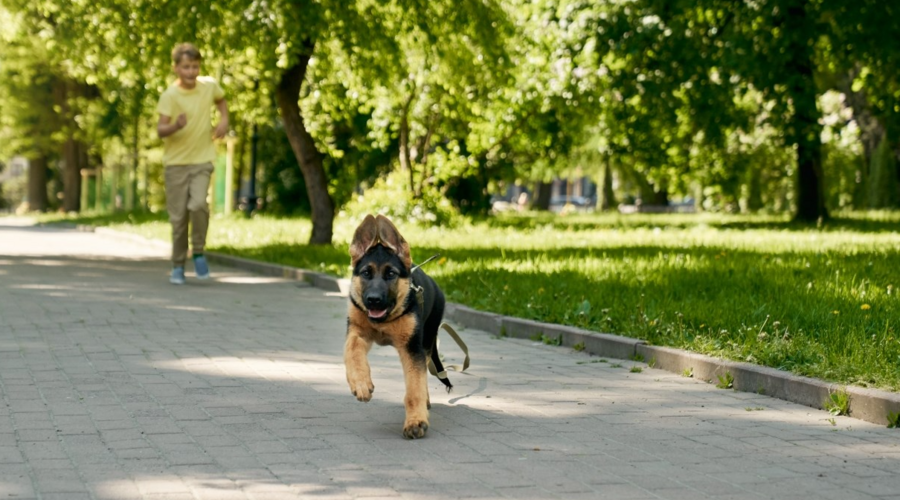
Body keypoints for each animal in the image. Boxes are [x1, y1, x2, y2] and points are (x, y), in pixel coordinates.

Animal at [344, 215, 450, 438]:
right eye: (366, 273)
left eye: (391, 274)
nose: (373, 300)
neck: (386, 320)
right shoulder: (356, 332)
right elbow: (352, 352)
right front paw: (361, 383)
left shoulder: (412, 349)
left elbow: (415, 387)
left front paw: (415, 421)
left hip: (427, 342)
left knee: (422, 377)